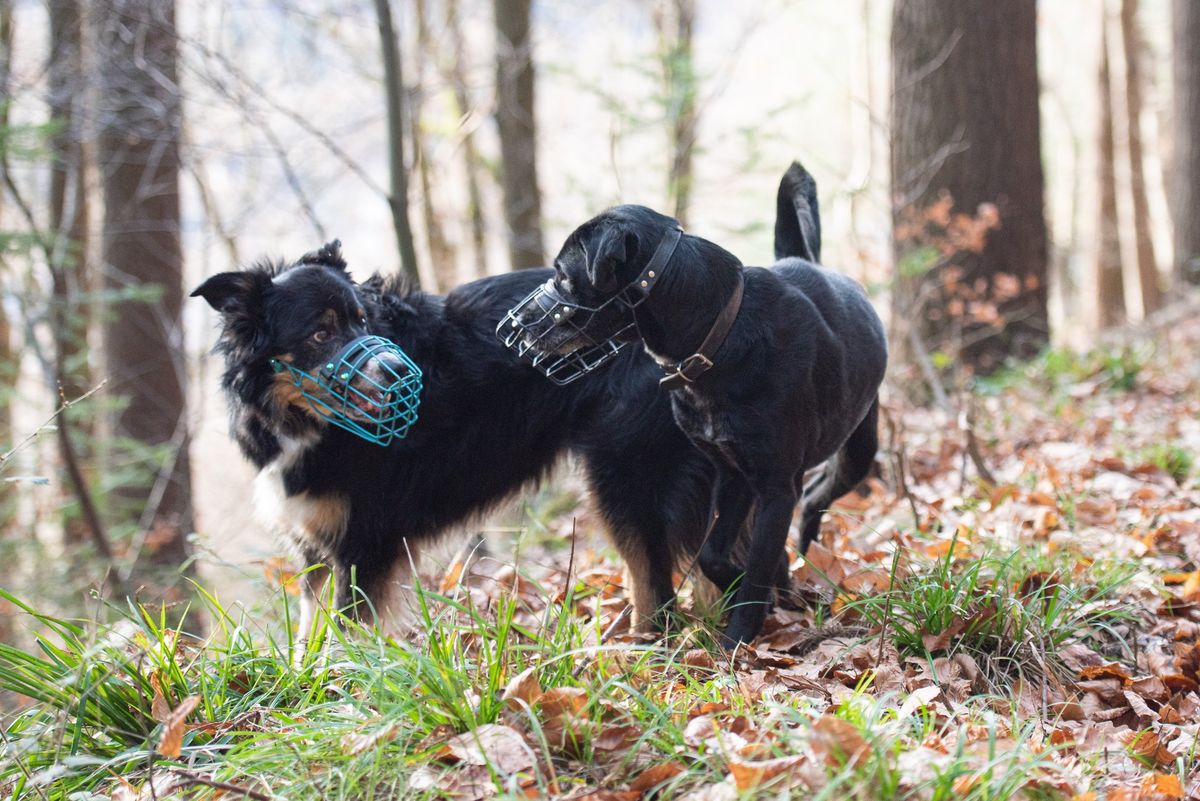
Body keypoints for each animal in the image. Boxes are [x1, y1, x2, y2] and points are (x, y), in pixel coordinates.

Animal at [501, 163, 888, 642]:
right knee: (811, 501)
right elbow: (714, 554)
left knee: (819, 492)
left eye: (563, 276)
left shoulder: (776, 486)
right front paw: (739, 588)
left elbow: (758, 567)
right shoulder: (732, 473)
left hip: (860, 445)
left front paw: (738, 637)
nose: (520, 322)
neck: (720, 334)